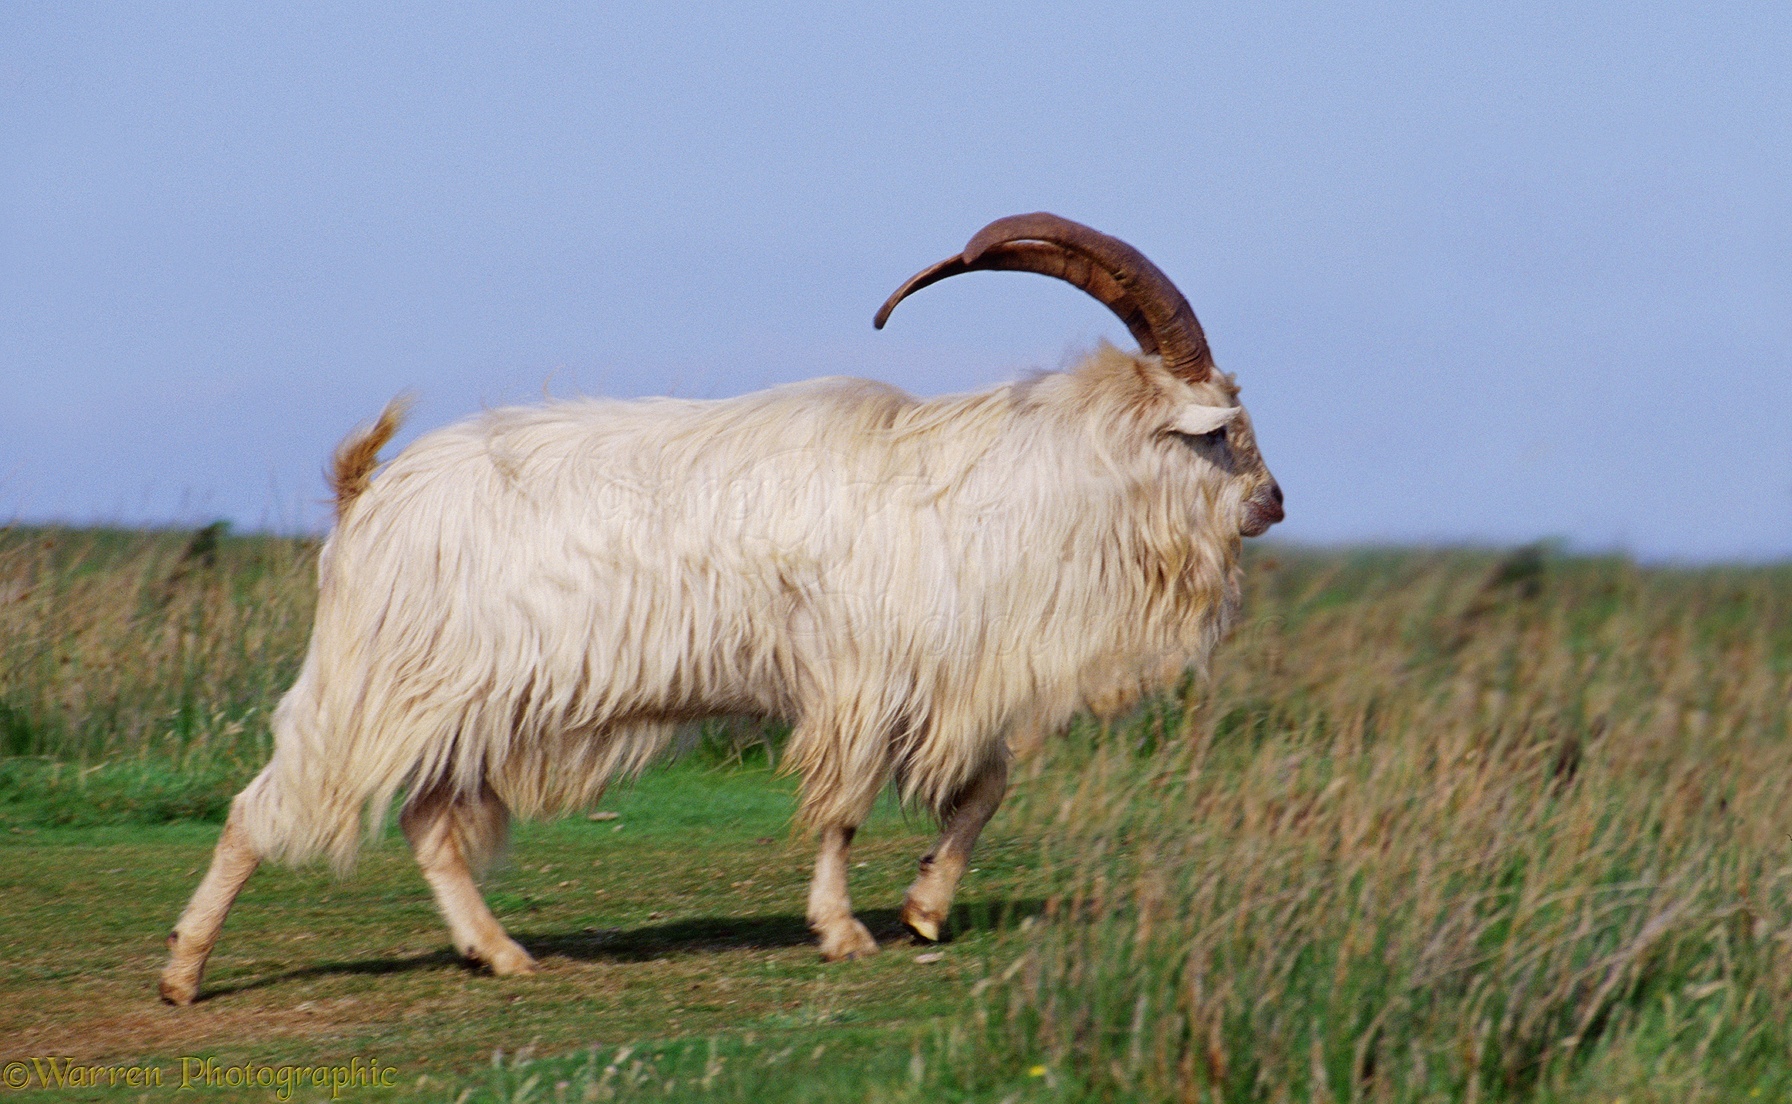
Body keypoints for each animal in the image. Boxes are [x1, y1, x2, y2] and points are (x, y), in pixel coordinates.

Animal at [158, 213, 1283, 1004]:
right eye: (1225, 432)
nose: (1275, 503)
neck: (982, 488)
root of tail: (368, 492)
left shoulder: (938, 684)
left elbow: (984, 791)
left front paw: (924, 909)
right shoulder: (860, 687)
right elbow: (843, 812)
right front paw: (844, 932)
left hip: (462, 706)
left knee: (430, 827)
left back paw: (501, 955)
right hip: (375, 685)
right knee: (262, 809)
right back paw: (182, 974)